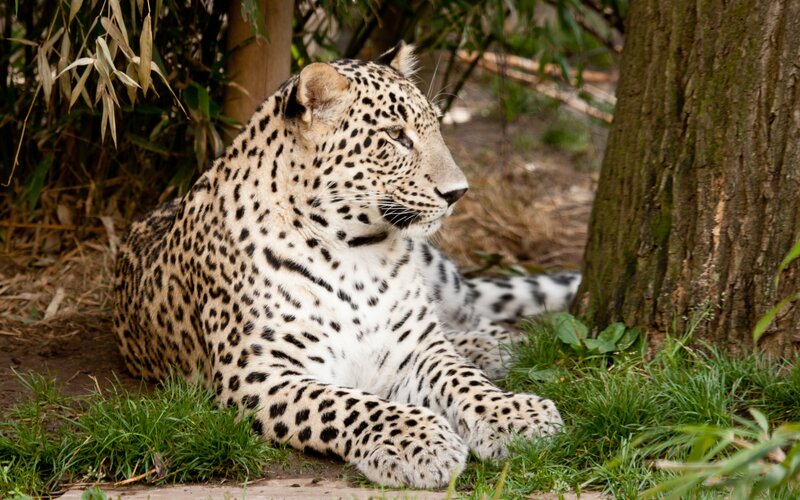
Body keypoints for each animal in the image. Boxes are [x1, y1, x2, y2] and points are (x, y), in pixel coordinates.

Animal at [113, 43, 580, 489]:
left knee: (468, 318)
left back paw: (491, 346)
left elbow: (461, 377)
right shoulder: (258, 375)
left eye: (436, 127)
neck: (355, 256)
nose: (458, 192)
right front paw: (417, 441)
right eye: (396, 136)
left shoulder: (418, 348)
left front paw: (514, 414)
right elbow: (348, 404)